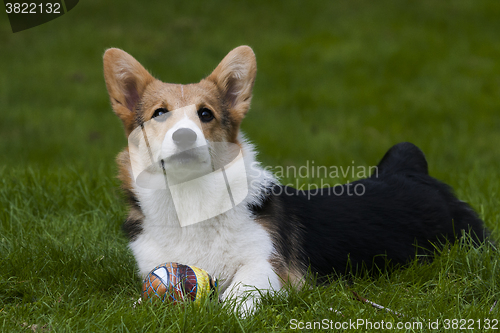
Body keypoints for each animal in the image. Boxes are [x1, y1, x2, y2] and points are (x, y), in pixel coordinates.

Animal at [102, 45, 488, 312]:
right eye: (160, 113)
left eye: (205, 114)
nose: (184, 136)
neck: (190, 199)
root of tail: (410, 170)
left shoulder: (270, 267)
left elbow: (240, 289)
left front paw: (228, 310)